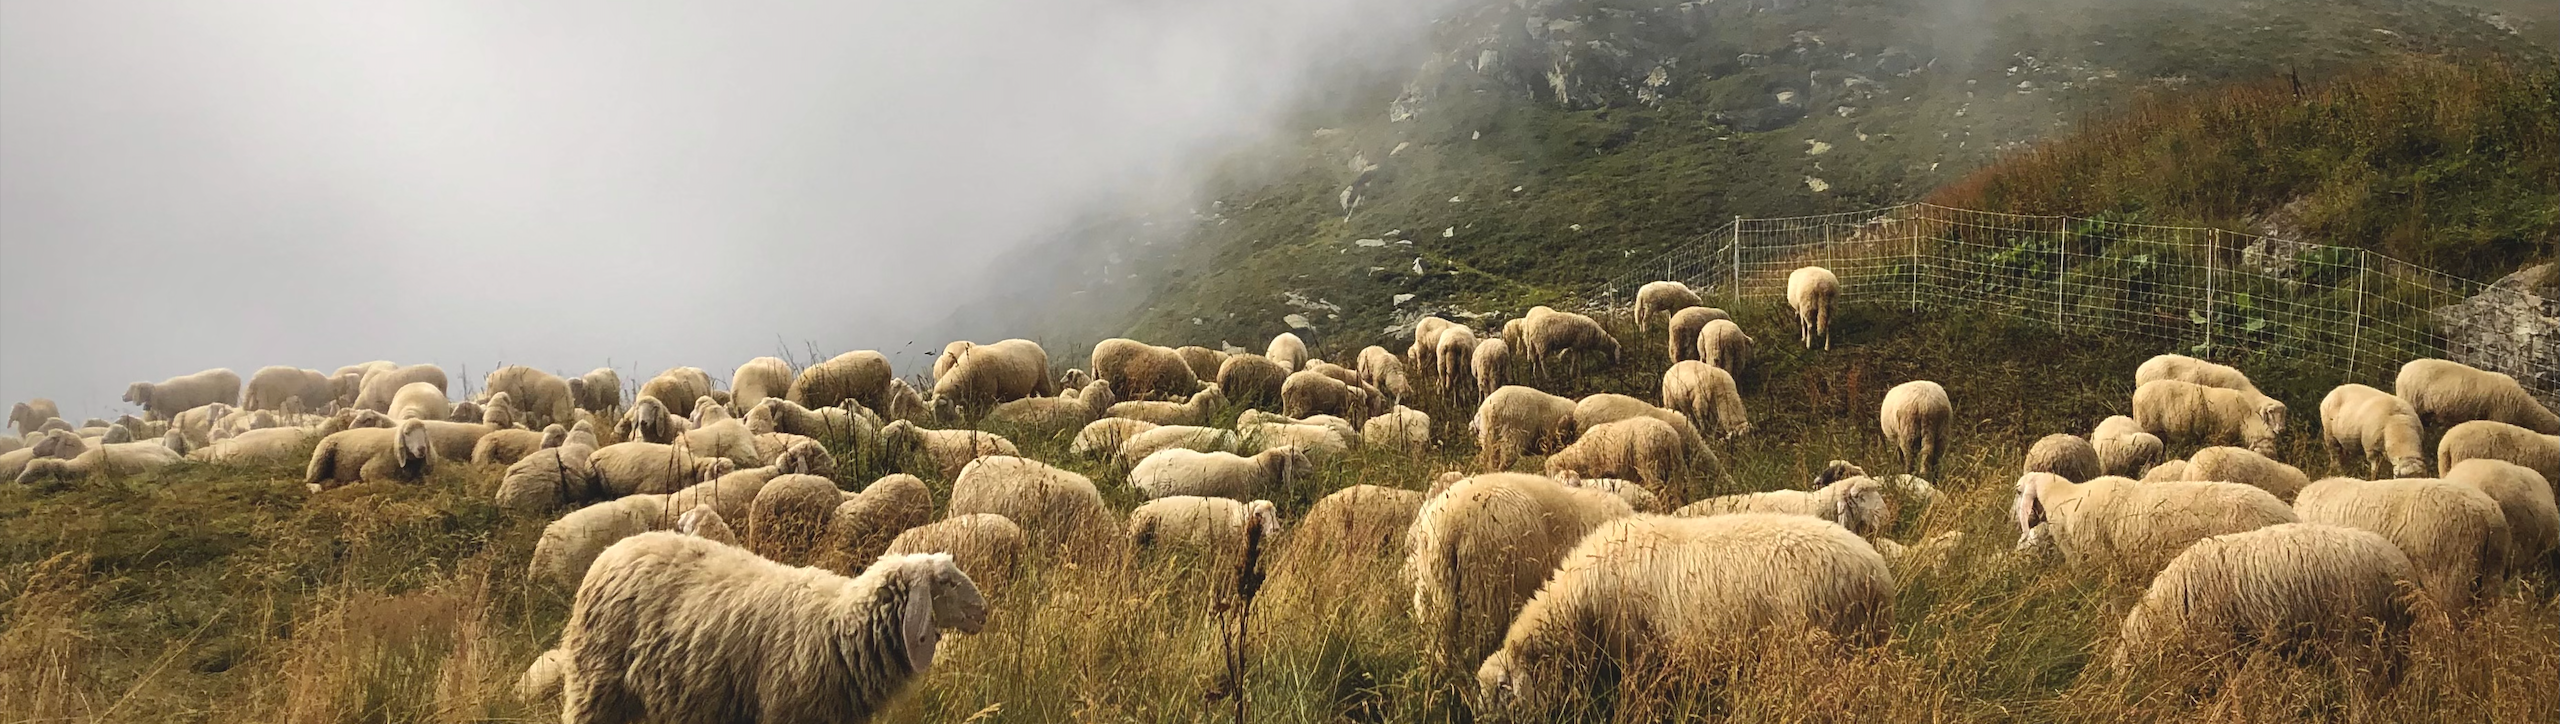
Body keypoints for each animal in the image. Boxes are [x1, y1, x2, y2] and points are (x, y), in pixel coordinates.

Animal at [304, 419, 435, 490]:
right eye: (407, 433)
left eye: (424, 431)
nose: (422, 449)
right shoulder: (370, 470)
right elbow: (389, 483)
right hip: (320, 459)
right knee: (308, 482)